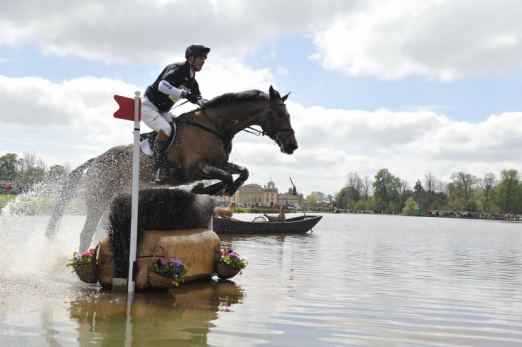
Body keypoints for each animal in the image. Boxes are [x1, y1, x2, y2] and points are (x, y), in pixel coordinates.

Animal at [45, 85, 296, 251]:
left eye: (288, 114)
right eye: (279, 113)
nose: (292, 146)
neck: (215, 126)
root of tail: (96, 159)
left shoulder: (217, 163)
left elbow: (241, 172)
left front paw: (220, 191)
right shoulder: (196, 168)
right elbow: (225, 177)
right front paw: (205, 190)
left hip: (110, 198)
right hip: (98, 197)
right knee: (86, 233)